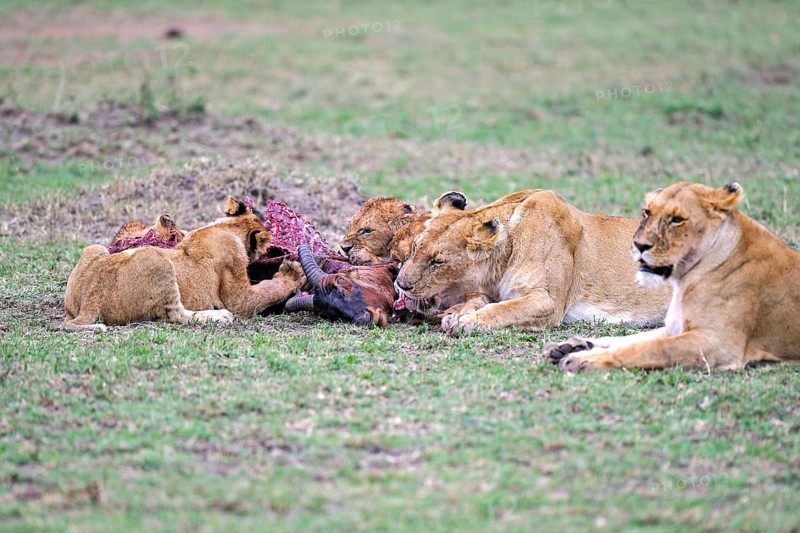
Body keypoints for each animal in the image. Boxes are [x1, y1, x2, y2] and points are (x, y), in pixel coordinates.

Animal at [63, 197, 306, 332]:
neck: (227, 228)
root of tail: (91, 299)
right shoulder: (239, 297)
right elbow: (266, 291)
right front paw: (292, 273)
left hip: (94, 248)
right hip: (157, 260)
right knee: (175, 315)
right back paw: (219, 316)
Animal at [395, 189, 672, 335]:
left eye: (437, 262)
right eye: (415, 247)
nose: (400, 284)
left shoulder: (548, 302)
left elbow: (503, 310)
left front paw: (467, 321)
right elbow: (480, 300)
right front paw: (458, 313)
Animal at [545, 182, 800, 371]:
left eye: (677, 219)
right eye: (647, 212)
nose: (638, 245)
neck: (686, 279)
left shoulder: (720, 343)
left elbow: (650, 349)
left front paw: (583, 359)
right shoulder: (674, 327)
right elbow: (628, 340)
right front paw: (572, 346)